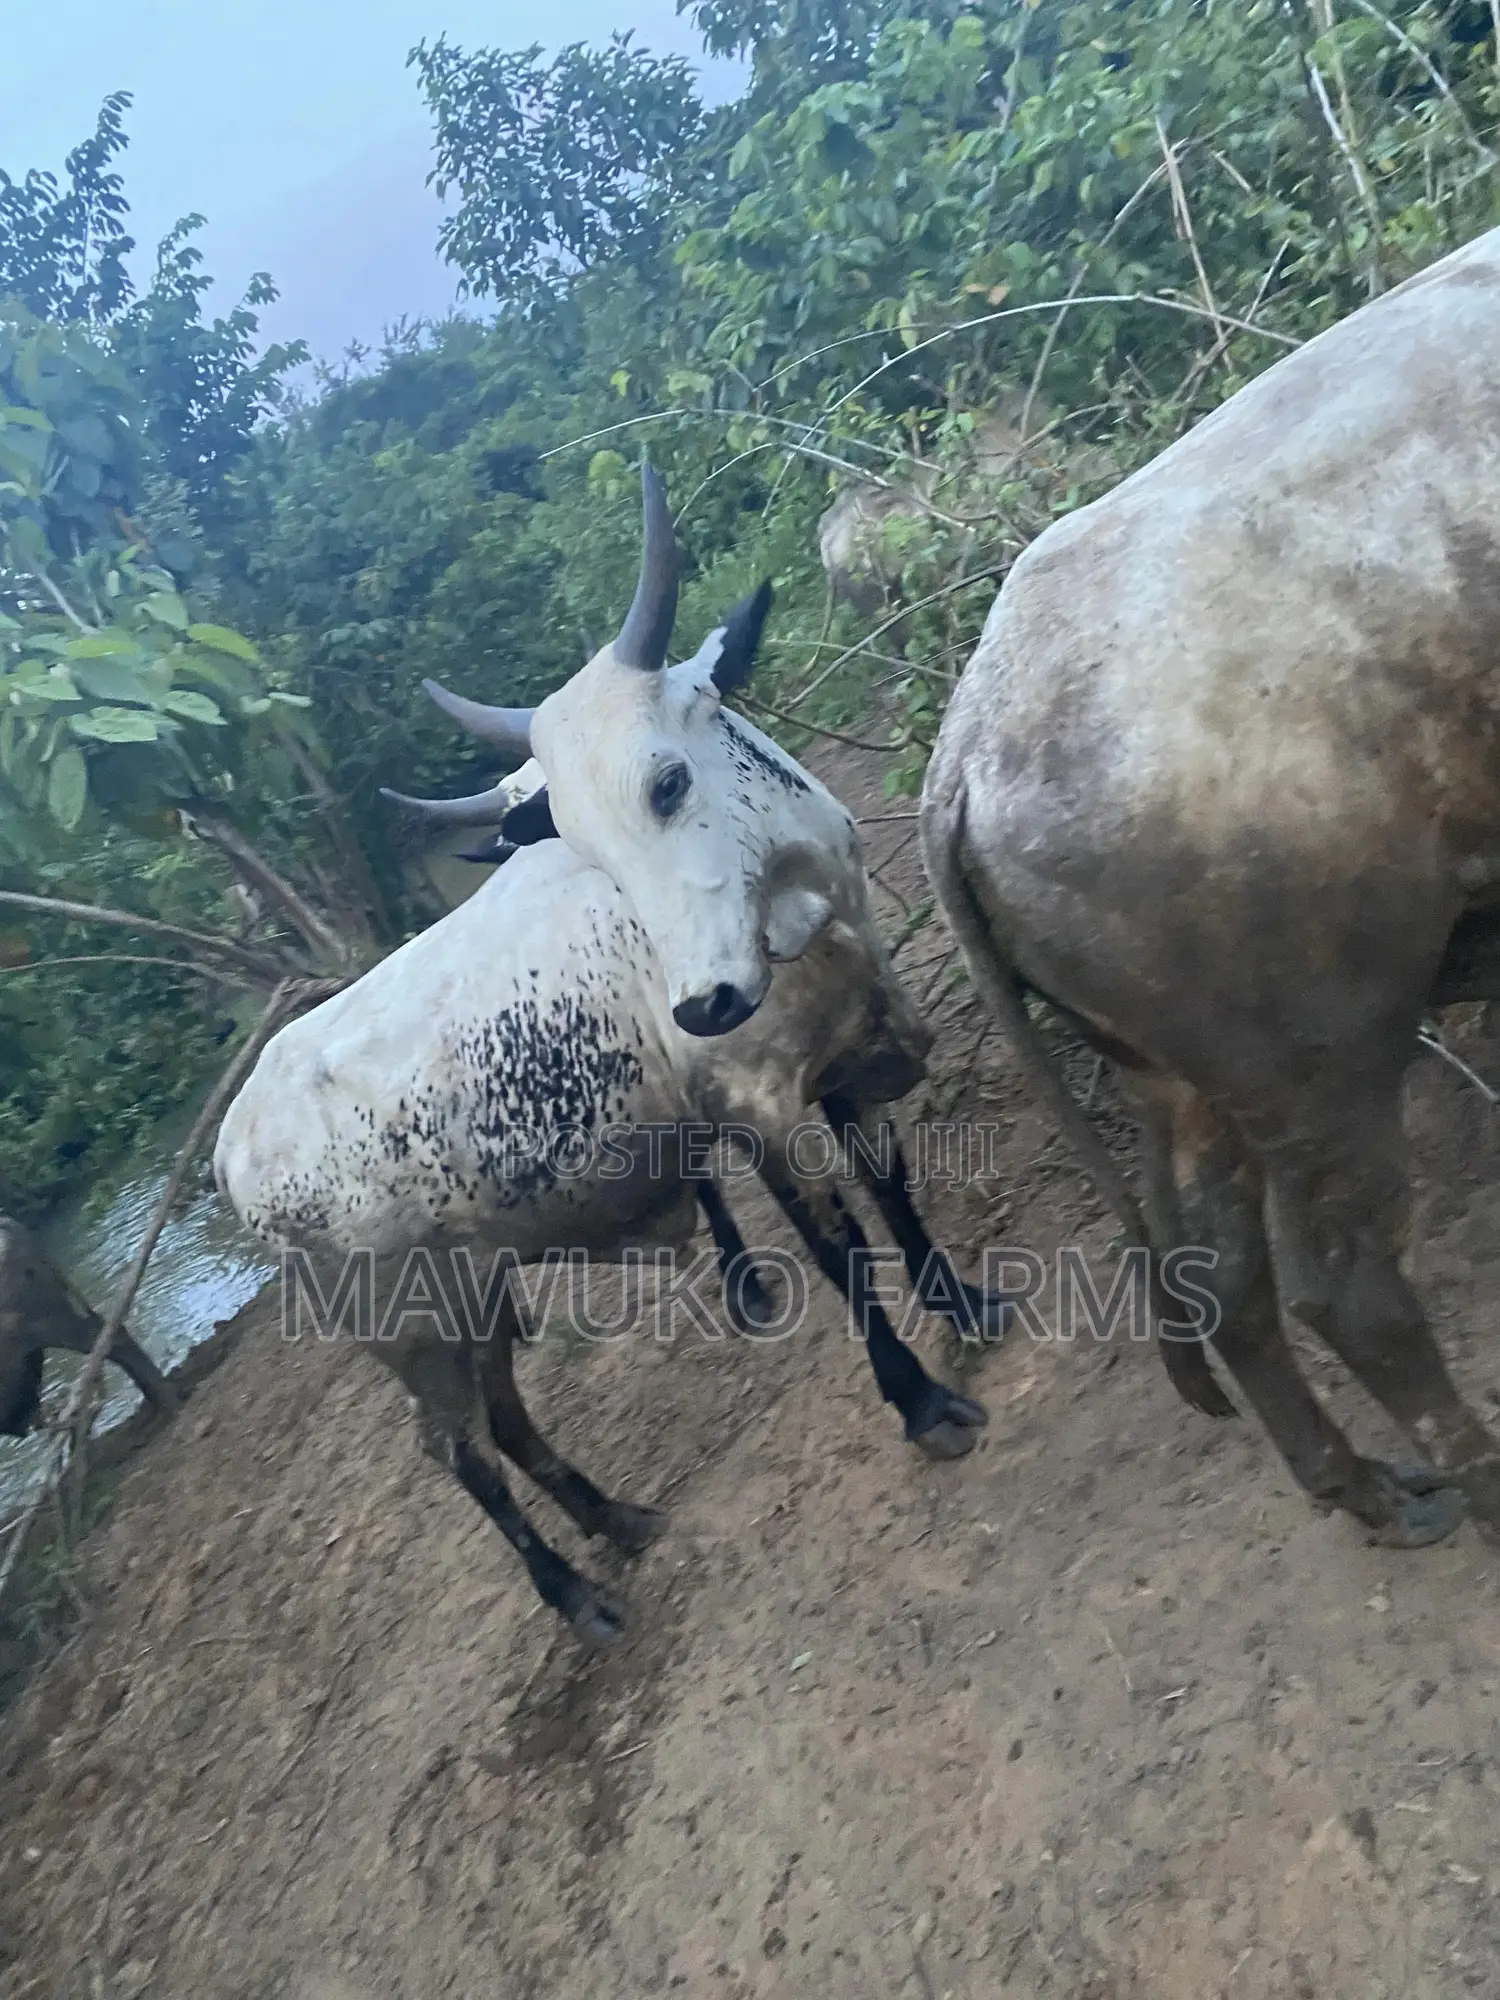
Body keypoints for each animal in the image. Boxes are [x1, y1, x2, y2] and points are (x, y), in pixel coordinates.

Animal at [919, 222, 1500, 1551]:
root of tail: (963, 748)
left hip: (1182, 1082)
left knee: (1223, 1281)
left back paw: (1370, 1492)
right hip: (1324, 1053)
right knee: (1348, 1289)